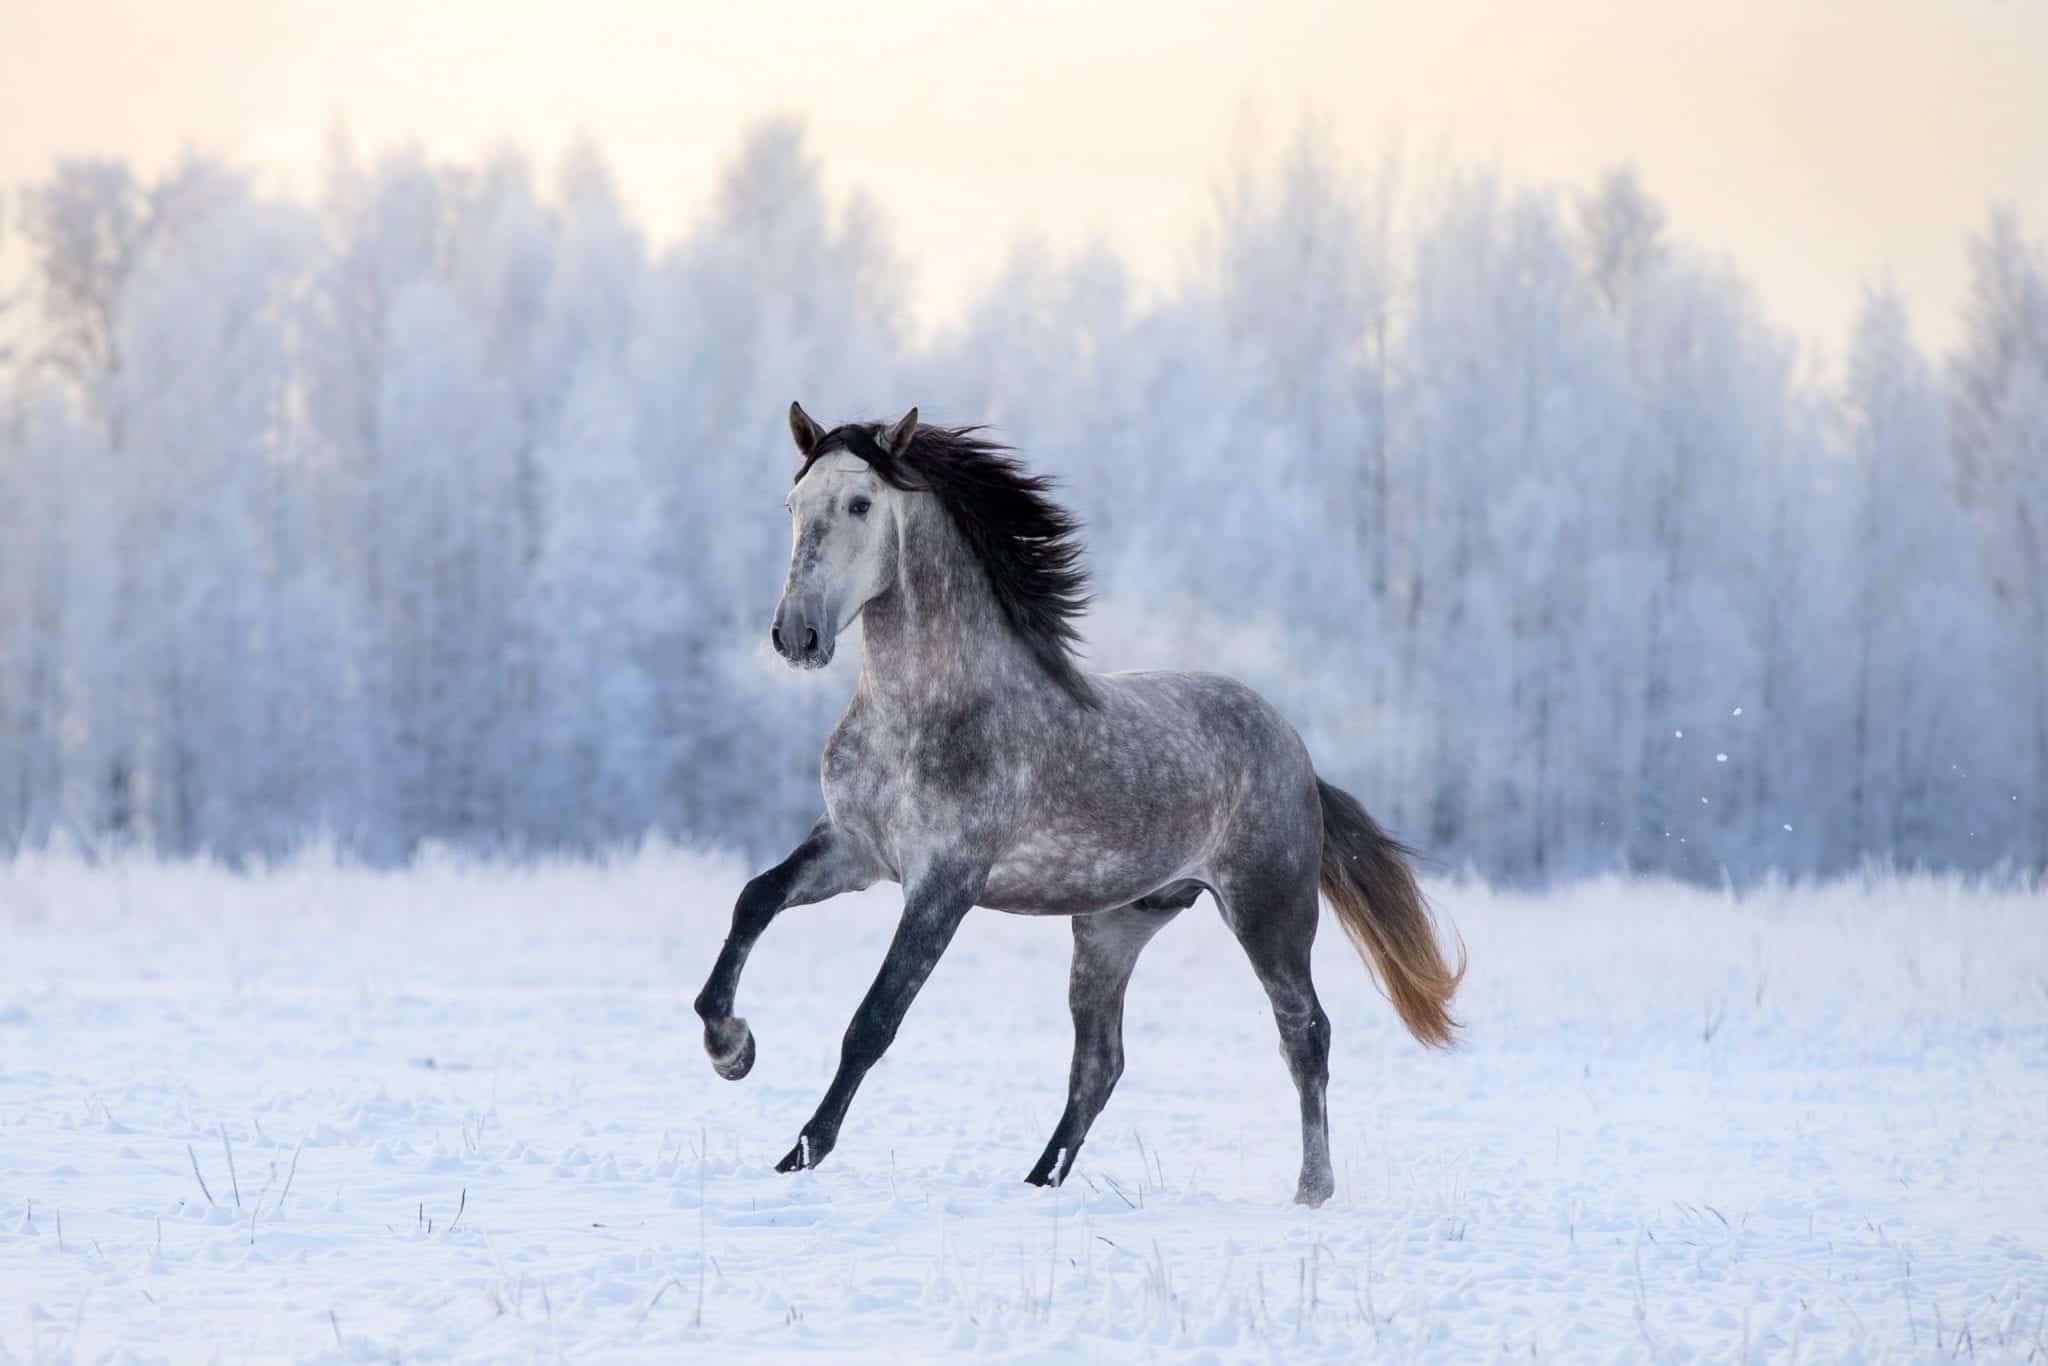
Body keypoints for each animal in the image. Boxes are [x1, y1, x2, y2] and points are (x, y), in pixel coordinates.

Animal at [696, 401, 1466, 1204]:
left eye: (859, 504)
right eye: (793, 505)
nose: (796, 634)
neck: (925, 713)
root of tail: (1298, 756)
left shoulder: (944, 884)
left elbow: (874, 1019)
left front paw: (800, 1153)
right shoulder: (853, 849)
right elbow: (753, 900)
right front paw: (731, 1049)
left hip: (1268, 912)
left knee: (1304, 1033)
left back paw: (1311, 1190)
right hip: (1111, 929)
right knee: (1100, 1064)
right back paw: (1041, 1182)